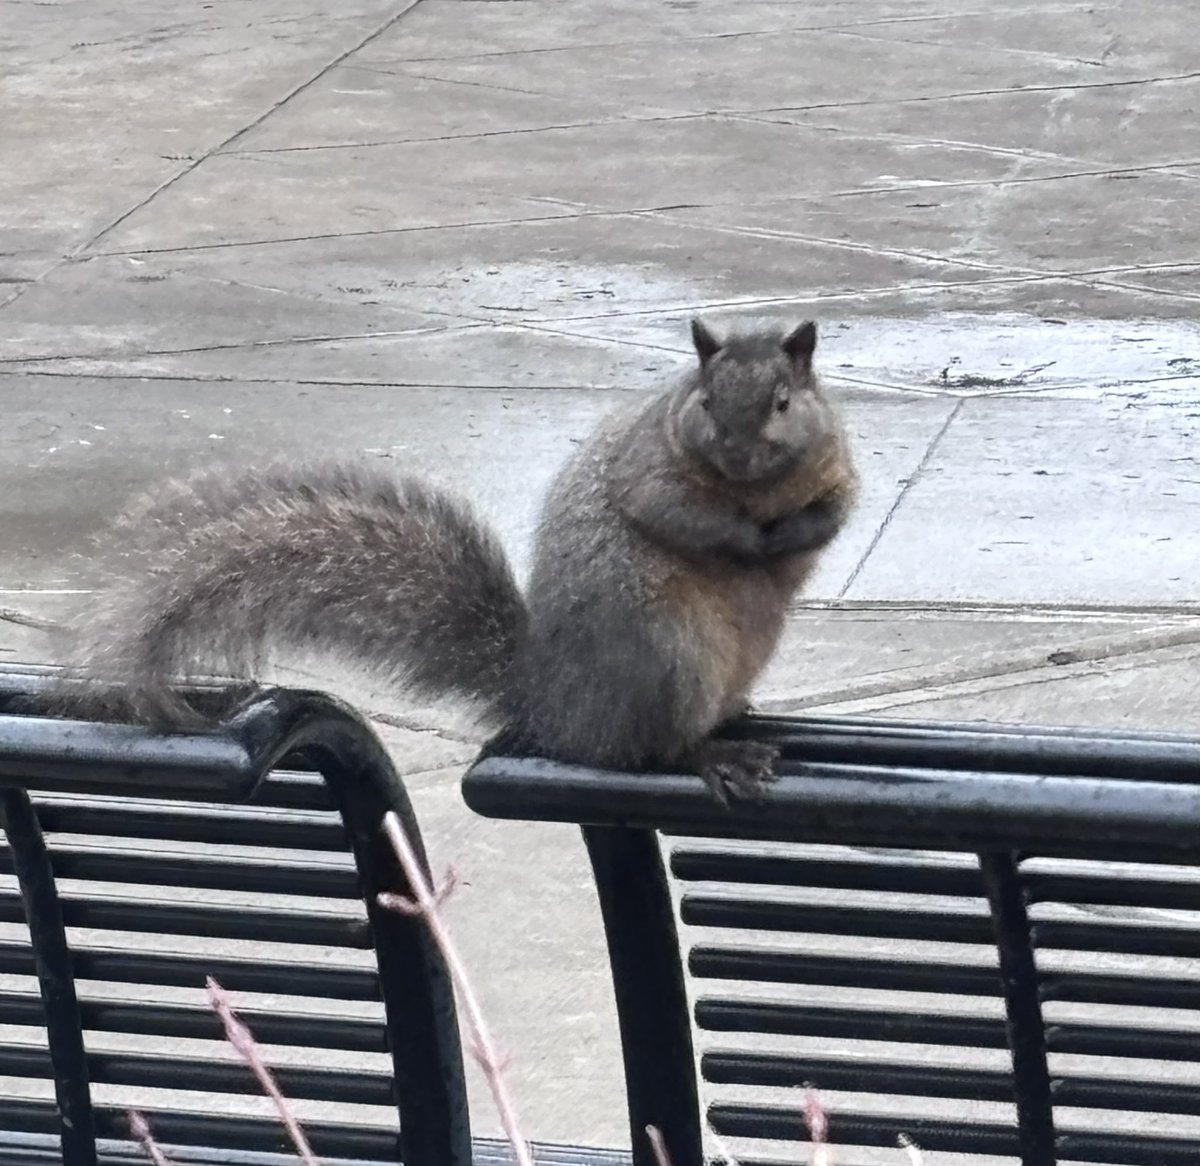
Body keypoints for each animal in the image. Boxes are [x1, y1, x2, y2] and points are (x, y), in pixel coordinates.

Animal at [51, 317, 857, 803]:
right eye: (705, 400)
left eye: (784, 401)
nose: (736, 451)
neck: (754, 490)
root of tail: (553, 706)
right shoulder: (647, 469)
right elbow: (677, 516)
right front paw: (752, 542)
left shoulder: (837, 470)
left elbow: (836, 515)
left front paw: (795, 532)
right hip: (669, 657)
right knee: (645, 751)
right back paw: (712, 756)